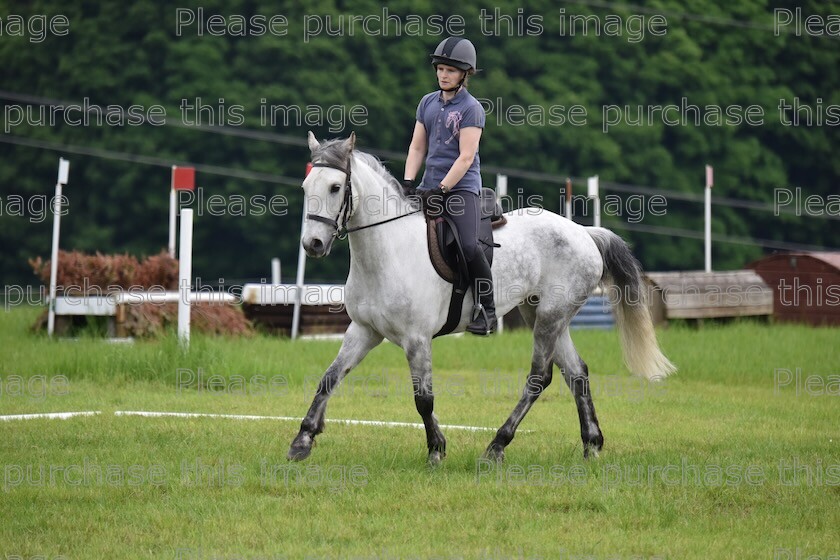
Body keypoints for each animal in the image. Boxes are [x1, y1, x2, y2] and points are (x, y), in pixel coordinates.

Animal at [288, 132, 676, 464]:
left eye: (336, 187)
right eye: (306, 186)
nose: (313, 244)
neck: (386, 251)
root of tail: (583, 232)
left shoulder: (416, 339)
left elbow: (423, 399)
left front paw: (436, 449)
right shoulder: (364, 331)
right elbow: (329, 379)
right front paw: (302, 441)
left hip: (550, 317)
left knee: (540, 377)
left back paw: (497, 446)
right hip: (543, 314)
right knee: (576, 373)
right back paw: (591, 445)